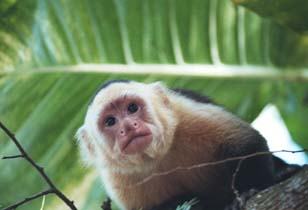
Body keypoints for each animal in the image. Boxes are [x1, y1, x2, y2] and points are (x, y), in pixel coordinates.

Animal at [76, 80, 300, 210]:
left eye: (132, 108)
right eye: (110, 121)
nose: (129, 127)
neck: (158, 156)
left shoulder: (186, 115)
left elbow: (247, 144)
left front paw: (250, 189)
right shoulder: (118, 178)